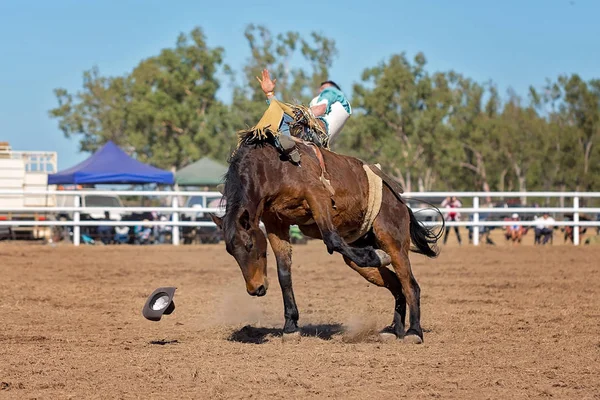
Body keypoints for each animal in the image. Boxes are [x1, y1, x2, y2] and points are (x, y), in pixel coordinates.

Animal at [210, 100, 440, 344]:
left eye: (250, 245)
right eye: (230, 251)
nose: (256, 289)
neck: (271, 167)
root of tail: (400, 201)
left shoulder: (317, 196)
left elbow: (332, 239)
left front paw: (375, 256)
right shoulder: (274, 221)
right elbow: (284, 273)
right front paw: (290, 326)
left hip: (393, 241)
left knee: (410, 285)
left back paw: (413, 331)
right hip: (361, 250)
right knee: (396, 285)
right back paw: (394, 329)